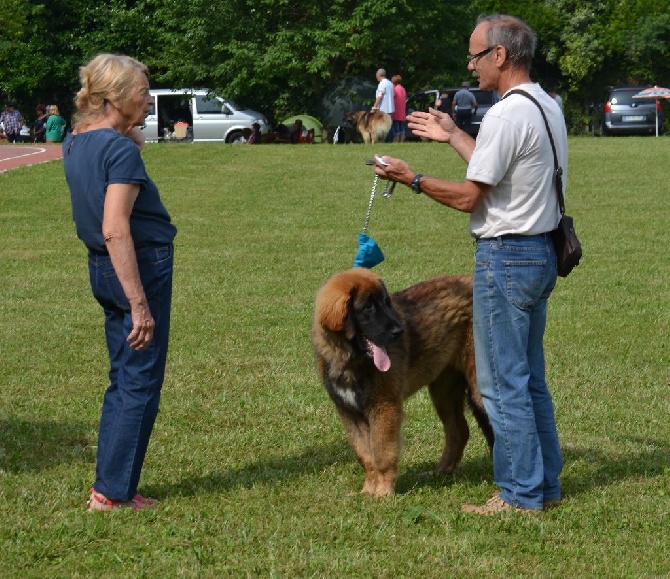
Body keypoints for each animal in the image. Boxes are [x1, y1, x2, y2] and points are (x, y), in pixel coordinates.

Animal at [312, 270, 496, 496]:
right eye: (368, 307)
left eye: (386, 303)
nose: (399, 331)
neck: (352, 360)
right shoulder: (349, 412)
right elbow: (365, 455)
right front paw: (368, 490)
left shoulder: (384, 406)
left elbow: (382, 453)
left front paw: (383, 491)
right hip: (443, 391)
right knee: (459, 430)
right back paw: (441, 471)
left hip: (479, 386)